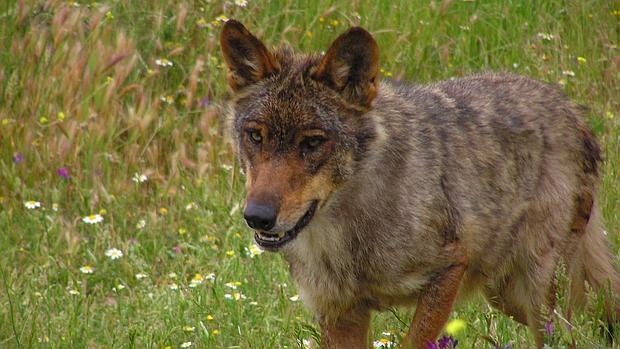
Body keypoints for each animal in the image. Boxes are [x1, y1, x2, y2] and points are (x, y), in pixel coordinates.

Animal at [219, 19, 620, 348]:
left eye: (313, 142)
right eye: (255, 136)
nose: (257, 216)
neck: (347, 237)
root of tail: (572, 109)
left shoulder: (449, 269)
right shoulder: (338, 312)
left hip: (534, 294)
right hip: (506, 295)